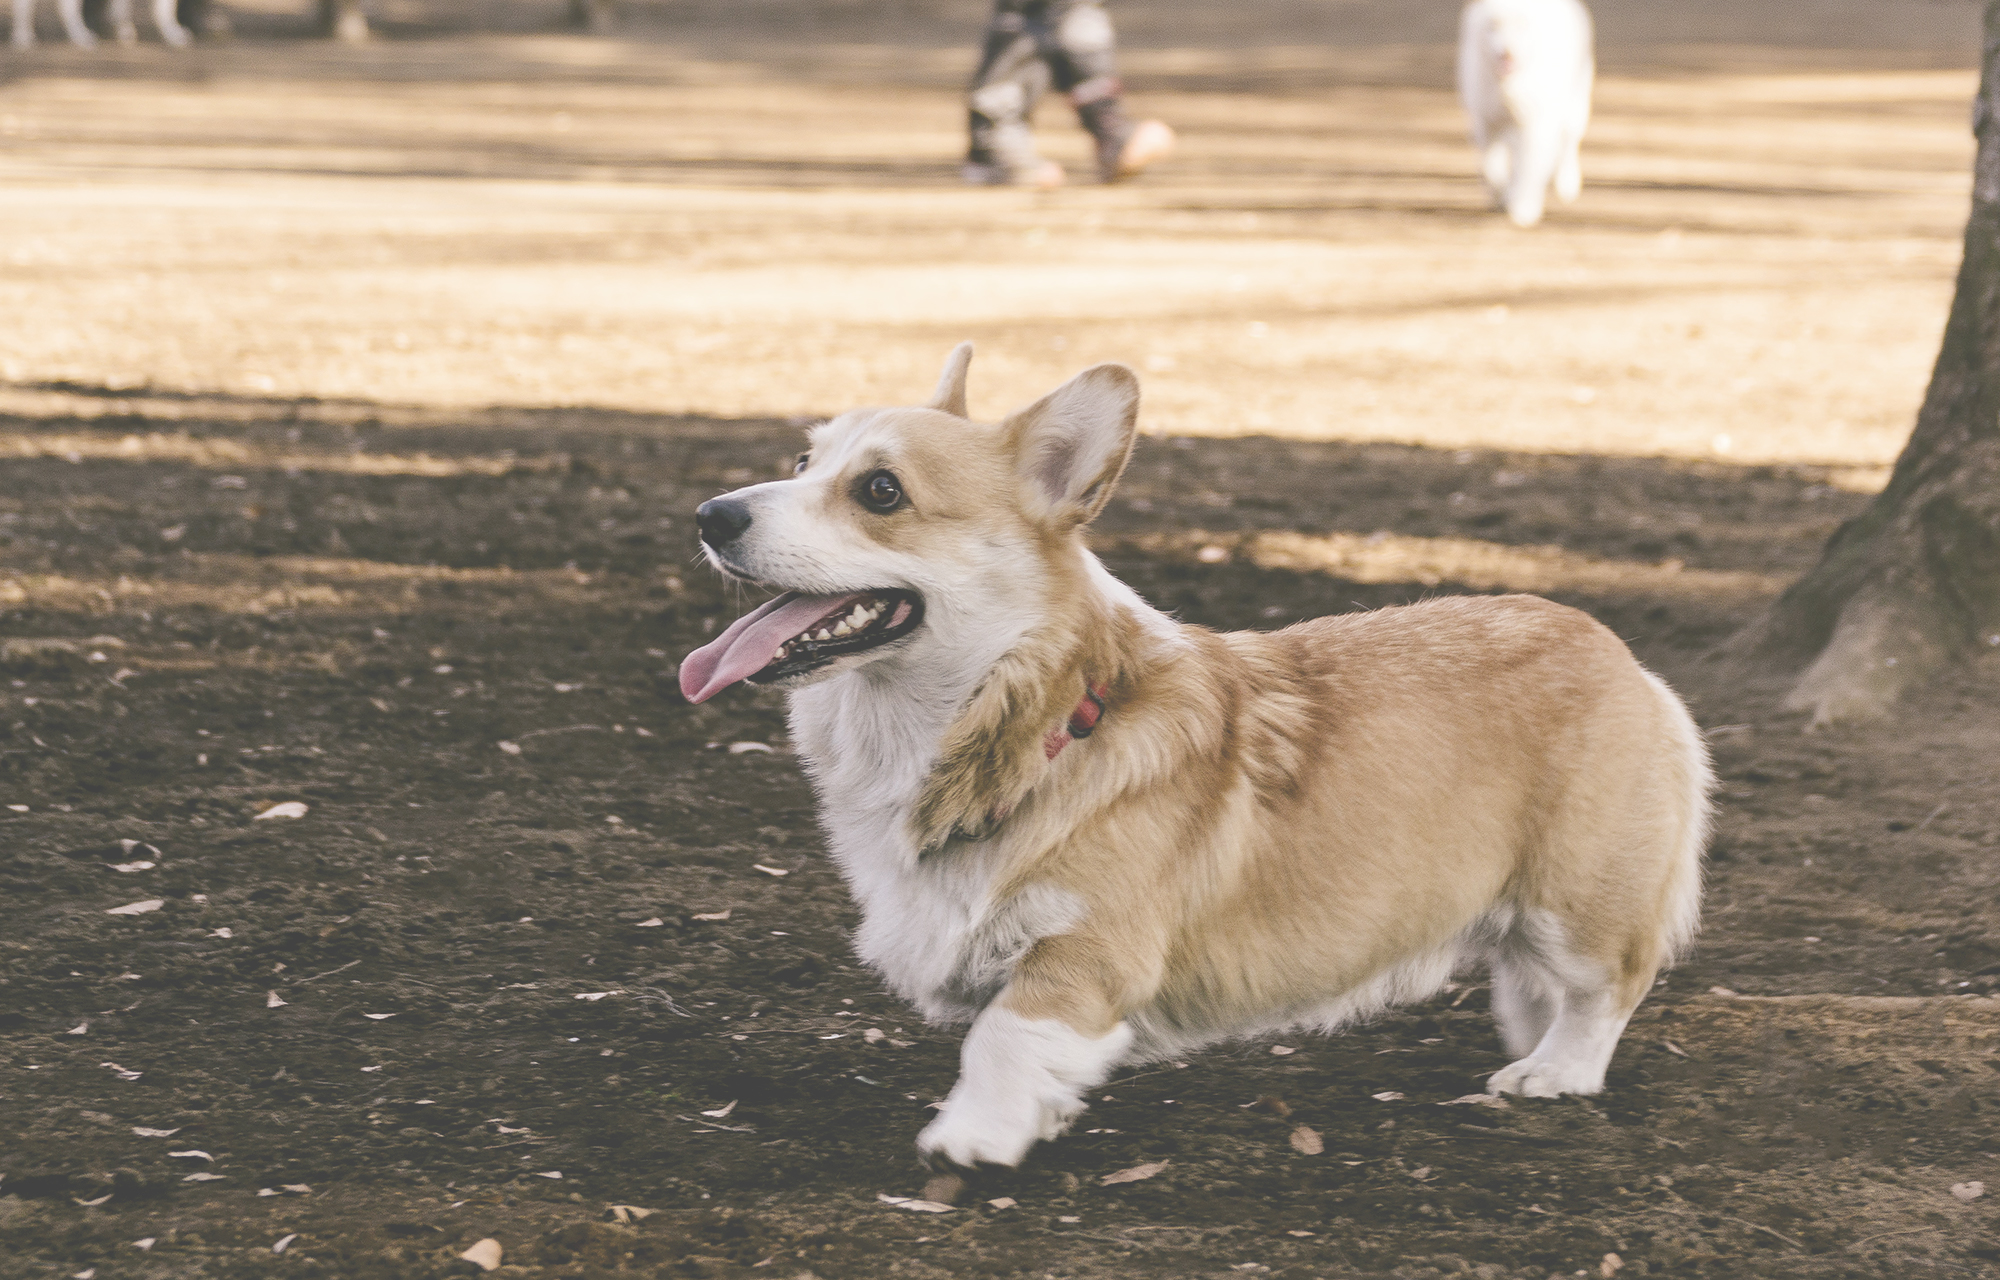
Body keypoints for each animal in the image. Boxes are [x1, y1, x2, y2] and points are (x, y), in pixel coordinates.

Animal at [684, 348, 1704, 1168]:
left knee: (1609, 986)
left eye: (881, 491)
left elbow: (1004, 1038)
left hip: (1576, 903)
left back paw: (1553, 1073)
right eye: (803, 462)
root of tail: (1618, 652)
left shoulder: (1087, 952)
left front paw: (971, 1138)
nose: (709, 513)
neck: (1032, 726)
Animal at [1456, 0, 1592, 228]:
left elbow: (1529, 169)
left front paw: (1524, 208)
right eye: (1493, 27)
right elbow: (1491, 167)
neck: (1509, 87)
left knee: (1568, 146)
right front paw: (1501, 196)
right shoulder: (1488, 123)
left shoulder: (1535, 127)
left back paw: (1567, 183)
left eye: (1522, 27)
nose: (1506, 53)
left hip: (1574, 108)